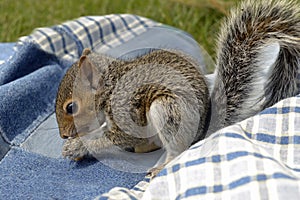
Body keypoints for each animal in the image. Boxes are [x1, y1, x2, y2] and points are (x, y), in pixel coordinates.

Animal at [56, 48, 211, 177]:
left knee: (178, 150)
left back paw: (160, 167)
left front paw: (77, 147)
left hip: (166, 110)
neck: (110, 90)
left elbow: (117, 139)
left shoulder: (126, 112)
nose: (63, 135)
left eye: (71, 107)